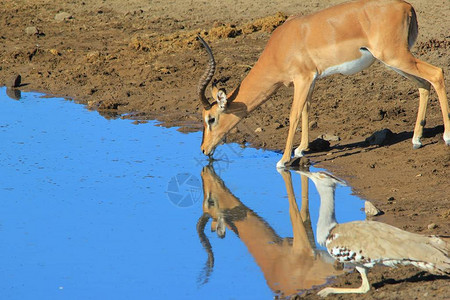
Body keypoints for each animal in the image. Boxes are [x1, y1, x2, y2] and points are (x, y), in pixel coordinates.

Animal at [197, 0, 450, 169]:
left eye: (211, 119)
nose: (203, 149)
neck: (282, 44)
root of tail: (407, 6)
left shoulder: (302, 79)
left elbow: (294, 114)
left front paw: (284, 159)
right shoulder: (311, 79)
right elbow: (306, 109)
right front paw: (301, 149)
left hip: (396, 57)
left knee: (437, 73)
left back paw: (446, 136)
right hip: (394, 61)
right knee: (423, 84)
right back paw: (416, 139)